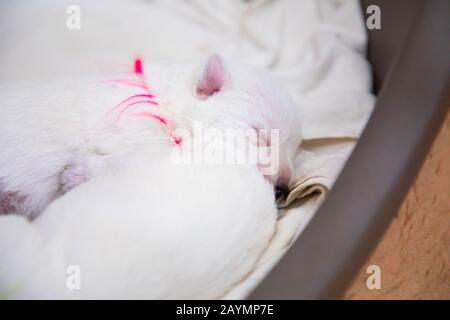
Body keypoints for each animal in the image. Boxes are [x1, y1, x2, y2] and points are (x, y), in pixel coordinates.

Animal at [0, 55, 302, 220]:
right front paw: (76, 174)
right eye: (260, 136)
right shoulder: (134, 133)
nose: (284, 188)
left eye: (295, 148)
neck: (165, 105)